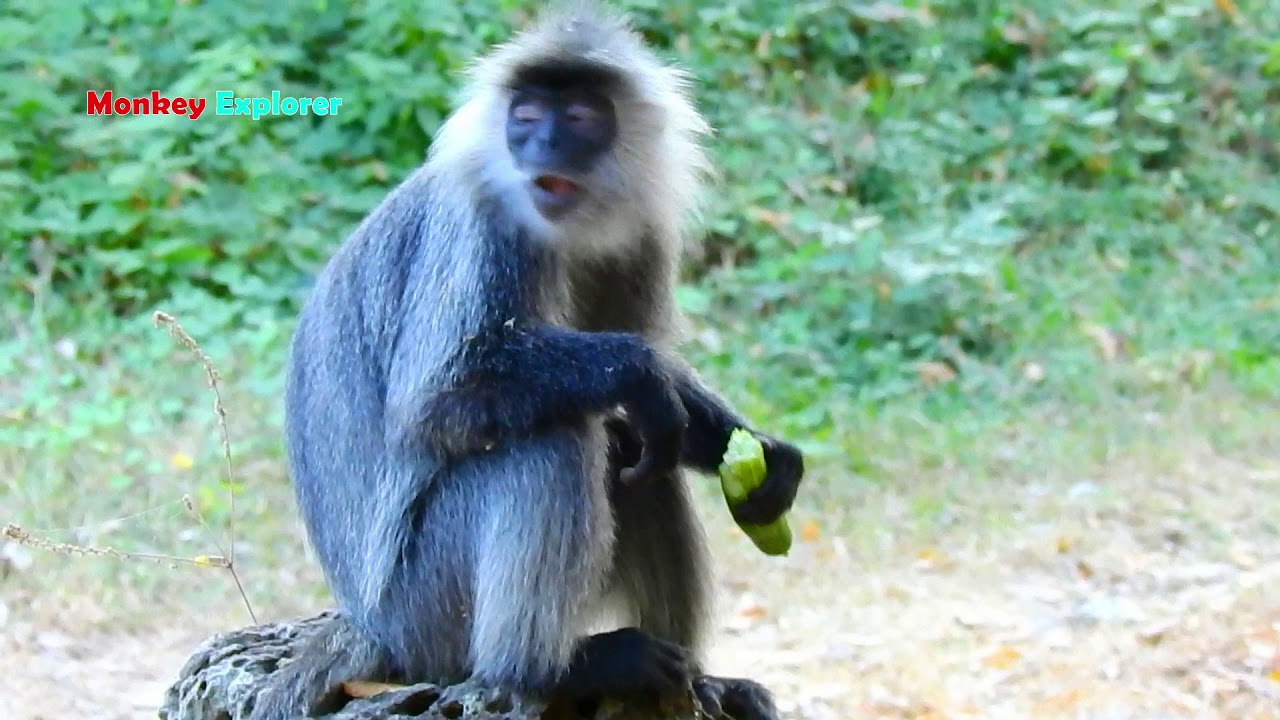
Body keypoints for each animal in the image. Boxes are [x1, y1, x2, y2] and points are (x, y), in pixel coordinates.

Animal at [252, 3, 804, 720]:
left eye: (579, 116)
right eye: (527, 114)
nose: (541, 146)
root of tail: (369, 629)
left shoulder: (638, 235)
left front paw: (755, 455)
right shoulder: (487, 224)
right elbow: (434, 400)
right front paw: (639, 374)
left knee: (638, 456)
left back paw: (698, 681)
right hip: (427, 610)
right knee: (555, 438)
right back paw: (551, 670)